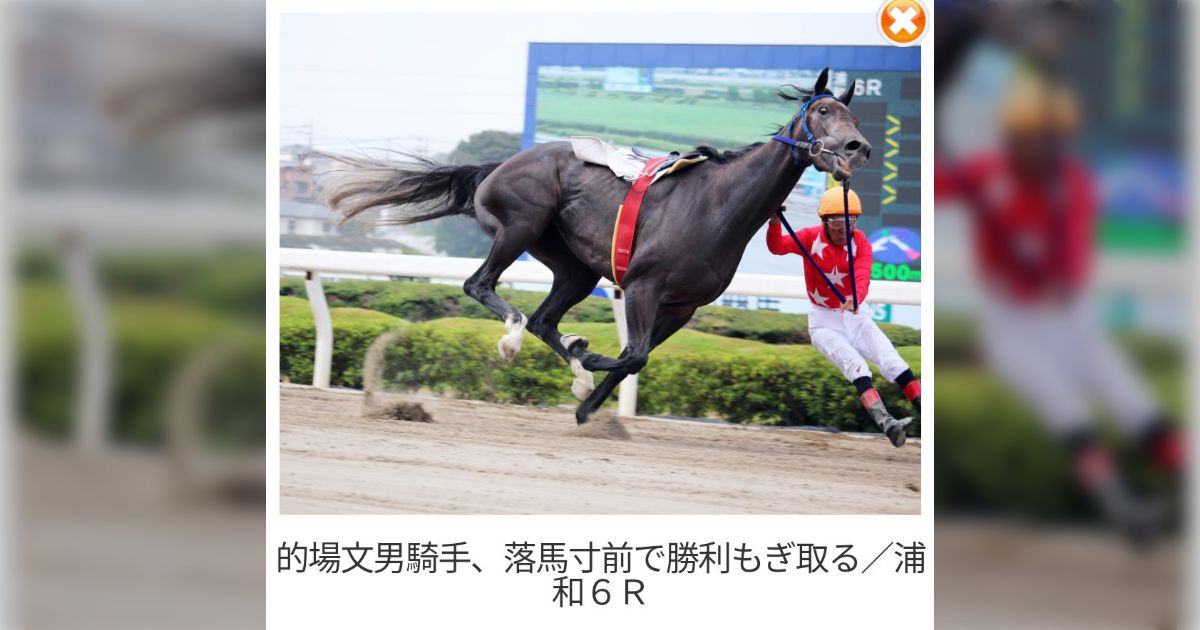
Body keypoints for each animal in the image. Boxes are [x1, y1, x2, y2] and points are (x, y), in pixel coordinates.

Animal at [321, 68, 871, 425]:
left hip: (575, 267)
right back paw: (514, 338)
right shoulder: (645, 286)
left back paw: (569, 363)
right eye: (824, 110)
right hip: (521, 226)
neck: (718, 205)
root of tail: (498, 166)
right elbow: (632, 355)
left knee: (544, 319)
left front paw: (586, 401)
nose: (857, 148)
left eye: (854, 117)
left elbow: (635, 358)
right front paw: (587, 358)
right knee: (482, 287)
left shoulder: (683, 306)